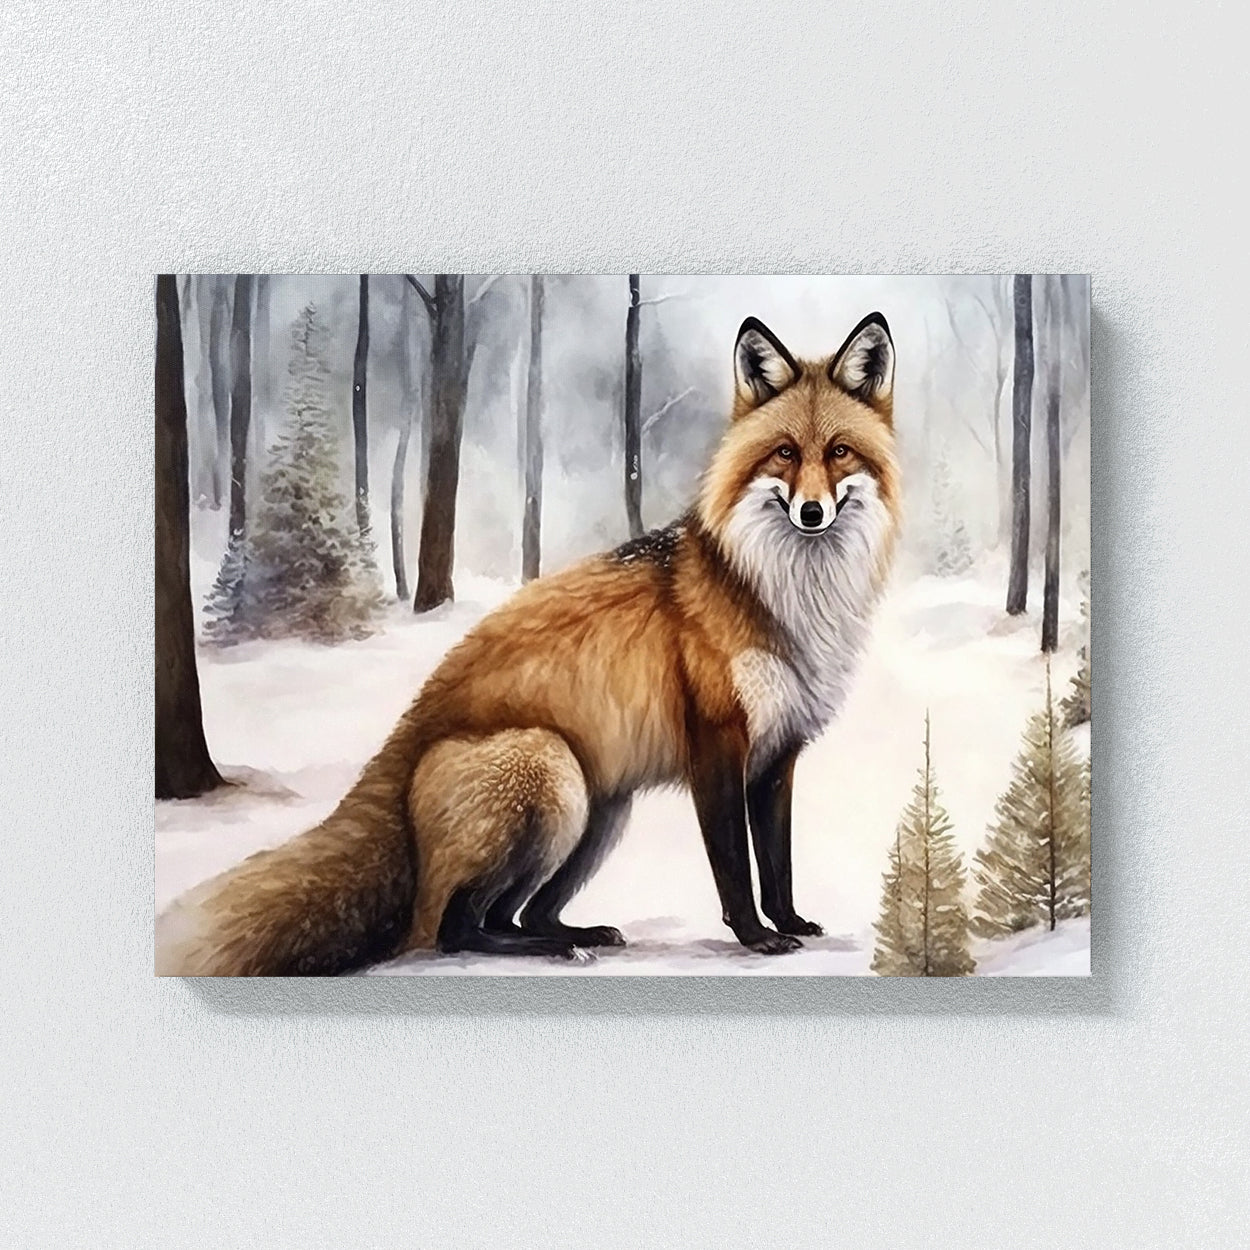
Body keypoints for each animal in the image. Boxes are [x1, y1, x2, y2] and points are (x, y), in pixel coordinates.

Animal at [156, 312, 901, 975]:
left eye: (838, 451)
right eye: (785, 453)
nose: (812, 512)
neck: (784, 597)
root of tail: (405, 738)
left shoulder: (778, 754)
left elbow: (778, 863)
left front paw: (791, 921)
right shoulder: (717, 746)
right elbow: (735, 869)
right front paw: (756, 937)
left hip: (601, 810)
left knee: (518, 913)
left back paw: (579, 933)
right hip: (551, 772)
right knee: (454, 928)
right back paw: (550, 949)